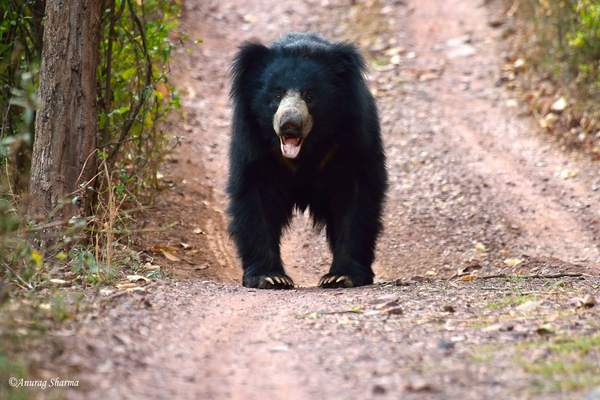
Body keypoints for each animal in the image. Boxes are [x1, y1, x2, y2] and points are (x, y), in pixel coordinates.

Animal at [227, 31, 386, 288]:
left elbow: (356, 198)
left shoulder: (354, 138)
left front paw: (341, 276)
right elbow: (253, 196)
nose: (289, 124)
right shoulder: (252, 142)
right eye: (276, 94)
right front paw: (270, 277)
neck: (305, 150)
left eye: (310, 95)